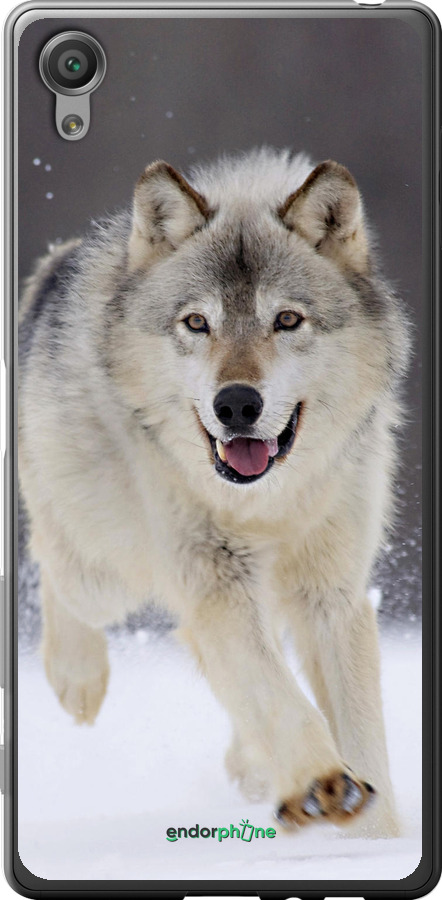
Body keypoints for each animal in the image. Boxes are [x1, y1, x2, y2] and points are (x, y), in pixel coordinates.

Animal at [19, 148, 409, 837]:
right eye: (197, 323)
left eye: (287, 320)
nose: (236, 404)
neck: (267, 503)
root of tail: (56, 263)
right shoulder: (214, 581)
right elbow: (277, 695)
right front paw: (322, 783)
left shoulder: (331, 594)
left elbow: (360, 733)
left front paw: (376, 836)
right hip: (106, 572)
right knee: (52, 562)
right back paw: (77, 680)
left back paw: (252, 766)